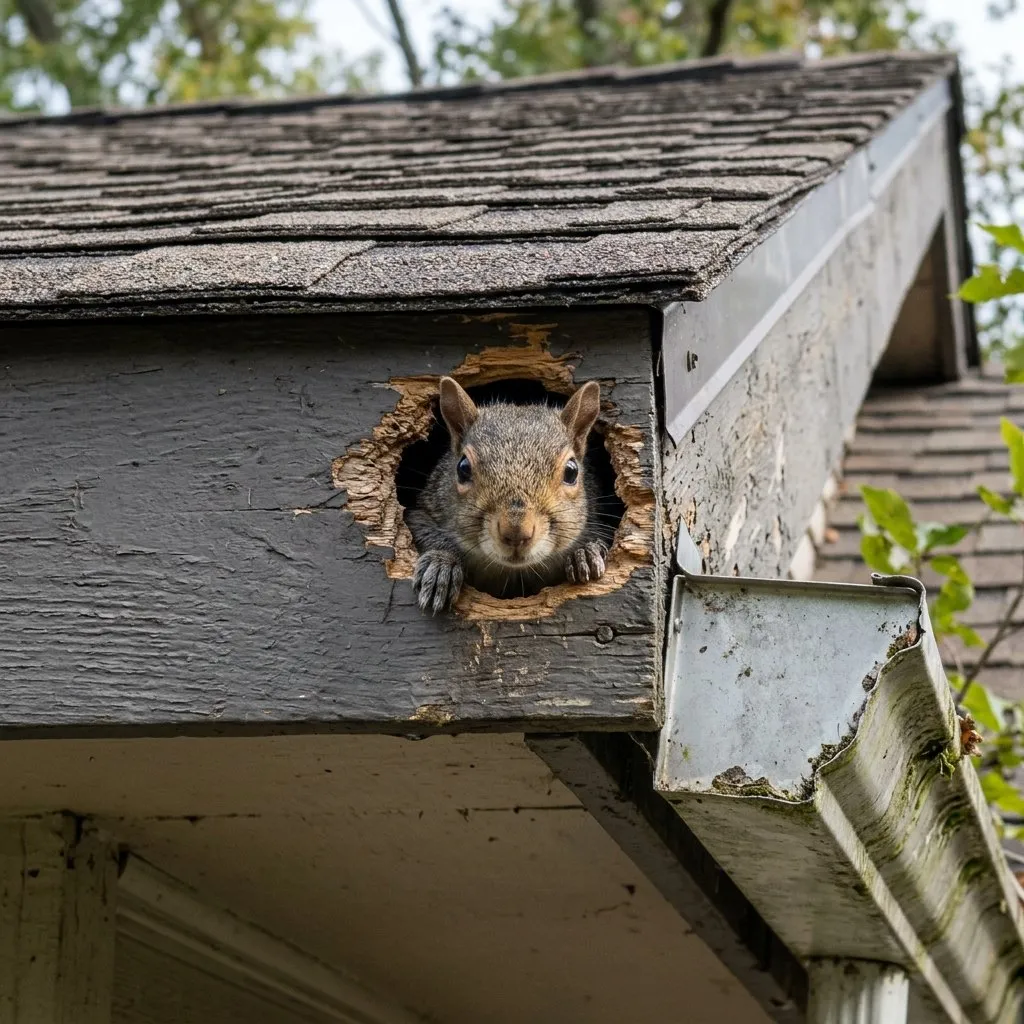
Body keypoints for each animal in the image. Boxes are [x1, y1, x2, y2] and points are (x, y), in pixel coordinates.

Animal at [405, 376, 611, 614]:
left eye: (571, 471)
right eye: (463, 468)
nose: (516, 532)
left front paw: (585, 553)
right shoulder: (423, 512)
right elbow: (423, 530)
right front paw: (441, 564)